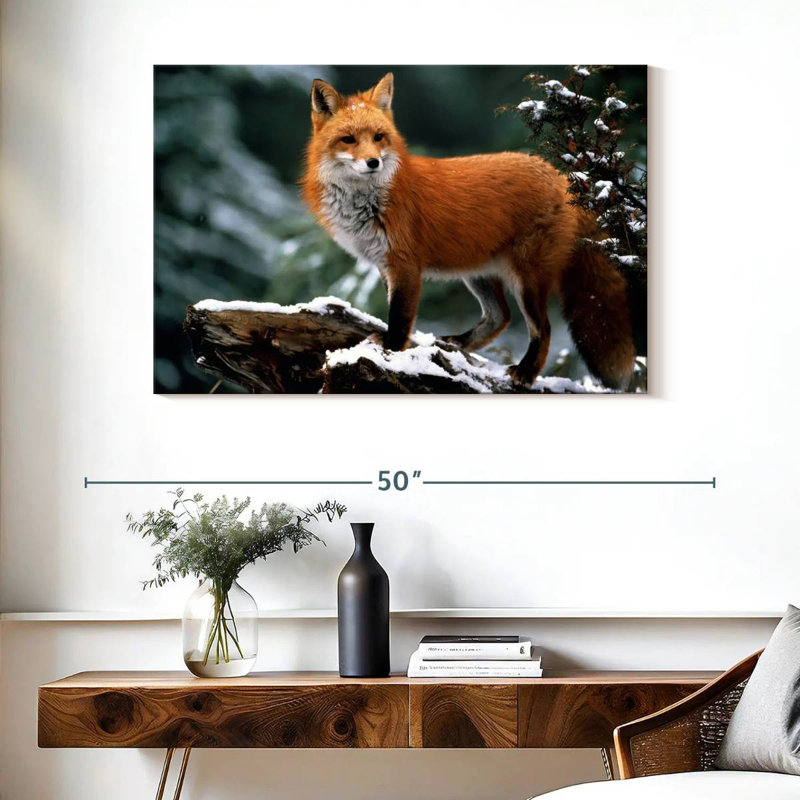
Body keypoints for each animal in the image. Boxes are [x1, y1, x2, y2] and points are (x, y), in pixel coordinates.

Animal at [302, 72, 636, 389]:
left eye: (379, 137)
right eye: (348, 139)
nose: (373, 162)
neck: (369, 202)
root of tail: (562, 176)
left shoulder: (405, 264)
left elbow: (400, 317)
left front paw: (392, 351)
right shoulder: (384, 264)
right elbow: (395, 312)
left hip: (527, 279)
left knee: (543, 328)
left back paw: (526, 373)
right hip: (478, 273)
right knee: (500, 317)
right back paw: (458, 344)